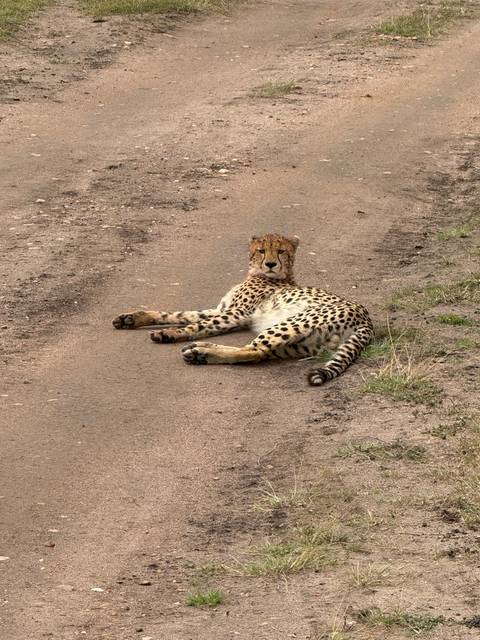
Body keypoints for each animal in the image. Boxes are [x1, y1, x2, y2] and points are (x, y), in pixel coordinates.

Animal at [112, 233, 374, 385]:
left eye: (281, 251)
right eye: (261, 250)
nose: (271, 264)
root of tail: (367, 319)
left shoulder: (235, 314)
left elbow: (195, 324)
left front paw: (167, 334)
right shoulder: (222, 310)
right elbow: (180, 315)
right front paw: (131, 318)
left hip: (292, 323)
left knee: (254, 350)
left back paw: (200, 351)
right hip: (302, 343)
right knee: (259, 353)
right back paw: (201, 351)